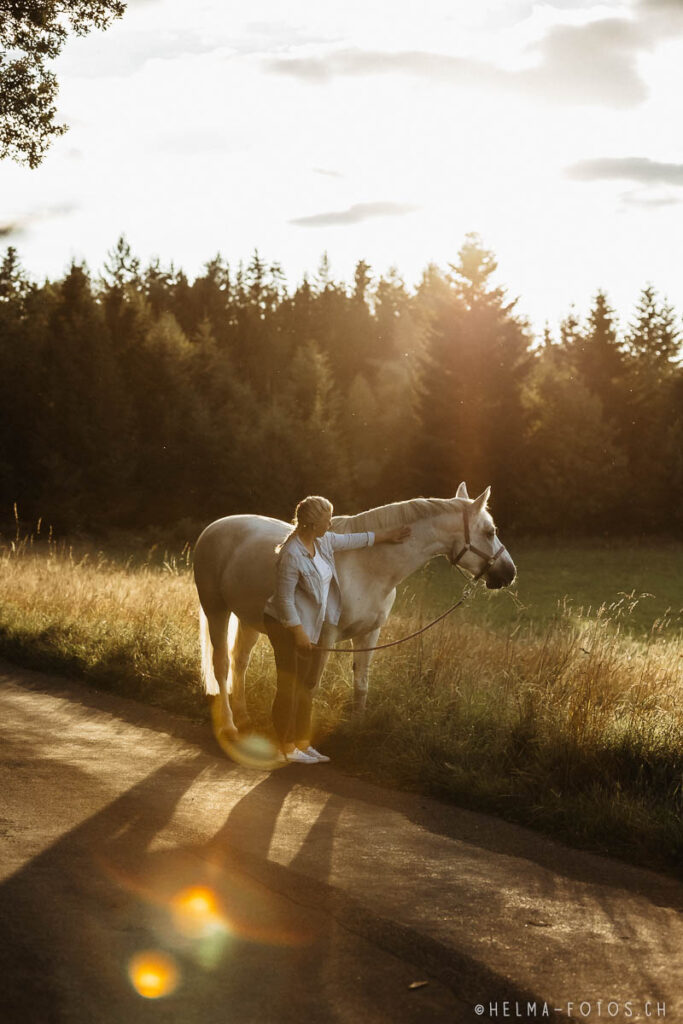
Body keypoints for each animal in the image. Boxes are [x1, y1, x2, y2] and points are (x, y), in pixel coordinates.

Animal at [194, 483, 516, 741]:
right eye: (490, 532)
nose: (509, 573)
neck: (369, 566)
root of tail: (214, 527)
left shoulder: (369, 635)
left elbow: (361, 684)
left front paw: (357, 730)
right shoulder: (324, 637)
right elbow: (310, 686)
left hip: (248, 619)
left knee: (240, 662)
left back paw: (244, 718)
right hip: (216, 610)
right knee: (222, 664)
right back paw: (230, 726)